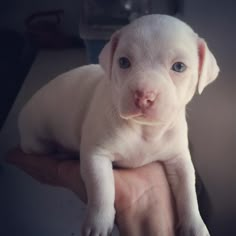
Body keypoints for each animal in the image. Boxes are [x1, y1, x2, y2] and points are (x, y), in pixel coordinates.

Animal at [18, 14, 219, 236]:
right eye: (123, 62)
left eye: (179, 67)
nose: (143, 95)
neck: (144, 130)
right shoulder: (96, 155)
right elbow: (102, 188)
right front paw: (98, 222)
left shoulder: (179, 158)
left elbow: (187, 190)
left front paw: (195, 225)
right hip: (35, 142)